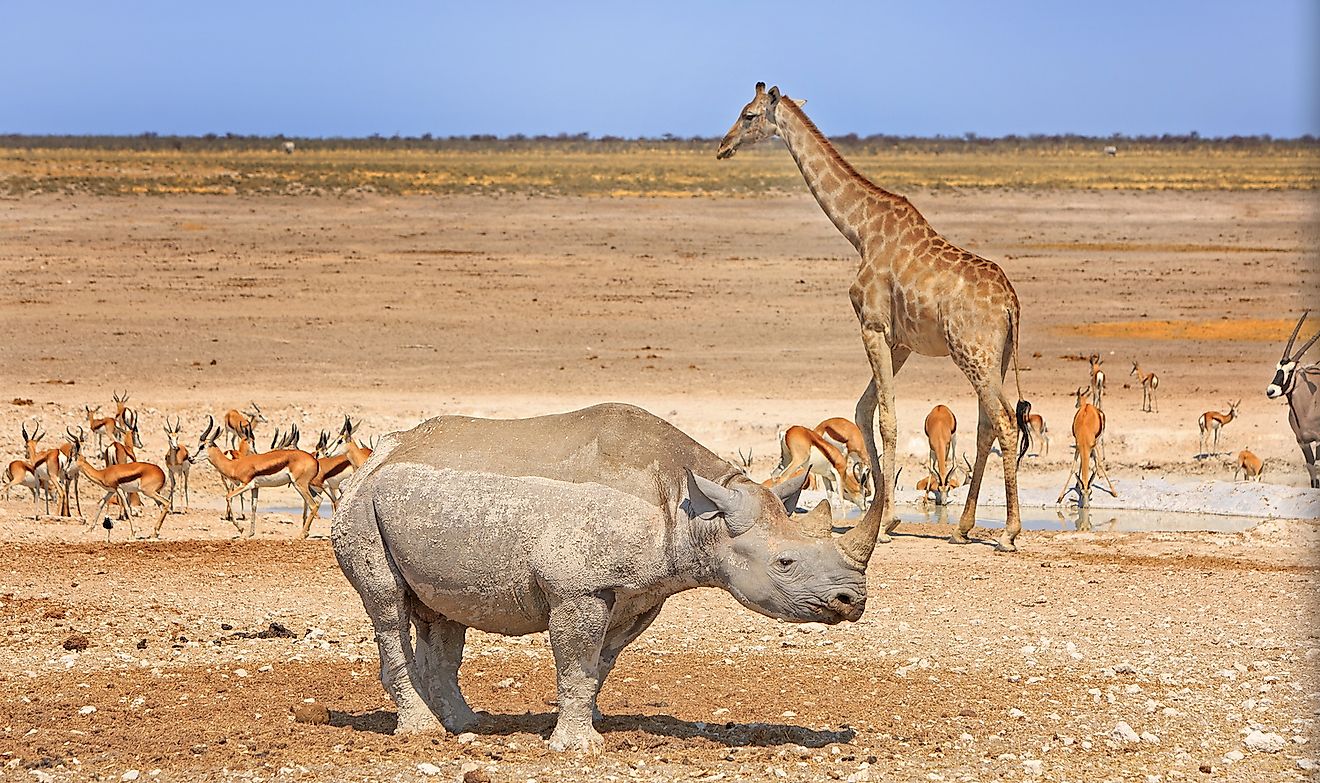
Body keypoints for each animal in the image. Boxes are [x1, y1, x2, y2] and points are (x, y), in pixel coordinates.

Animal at [723, 83, 1029, 554]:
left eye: (749, 114)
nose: (724, 146)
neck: (859, 231)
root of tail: (1011, 303)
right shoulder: (899, 340)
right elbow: (864, 409)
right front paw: (884, 515)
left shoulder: (872, 325)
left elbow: (886, 418)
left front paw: (884, 522)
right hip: (994, 357)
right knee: (986, 426)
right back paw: (962, 527)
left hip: (973, 354)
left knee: (1005, 423)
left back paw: (1009, 534)